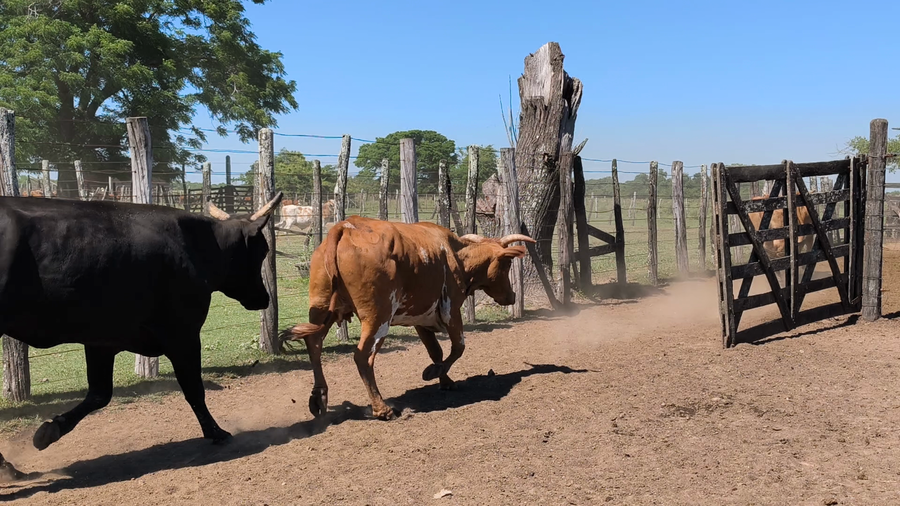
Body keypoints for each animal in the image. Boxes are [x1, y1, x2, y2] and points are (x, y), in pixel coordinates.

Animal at [0, 191, 283, 453]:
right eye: (263, 250)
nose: (264, 297)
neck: (197, 246)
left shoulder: (102, 341)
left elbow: (99, 394)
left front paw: (50, 430)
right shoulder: (183, 334)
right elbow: (194, 388)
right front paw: (215, 431)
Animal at [280, 215, 535, 421]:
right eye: (507, 263)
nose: (512, 296)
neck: (455, 255)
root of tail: (345, 227)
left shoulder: (421, 319)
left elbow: (436, 351)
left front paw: (444, 380)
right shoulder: (451, 310)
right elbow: (458, 347)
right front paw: (433, 373)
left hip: (322, 309)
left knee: (314, 345)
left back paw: (319, 398)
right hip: (378, 318)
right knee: (363, 357)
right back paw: (382, 409)